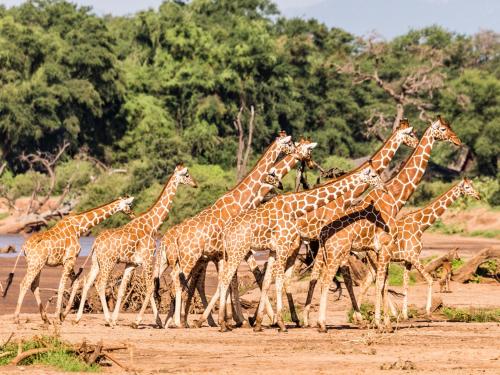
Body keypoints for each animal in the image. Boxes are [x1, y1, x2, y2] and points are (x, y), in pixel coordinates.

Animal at [9, 197, 135, 326]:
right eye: (129, 205)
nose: (133, 214)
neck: (78, 227)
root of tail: (24, 247)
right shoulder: (71, 258)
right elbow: (62, 286)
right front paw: (58, 316)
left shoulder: (67, 260)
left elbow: (75, 283)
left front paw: (63, 315)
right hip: (36, 263)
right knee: (24, 284)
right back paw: (17, 318)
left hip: (37, 264)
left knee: (34, 286)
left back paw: (45, 318)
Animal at [73, 164, 197, 326]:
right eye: (187, 175)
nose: (195, 184)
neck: (152, 224)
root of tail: (95, 242)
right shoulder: (147, 258)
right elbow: (150, 288)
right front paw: (138, 321)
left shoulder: (131, 264)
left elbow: (122, 290)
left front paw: (154, 321)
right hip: (108, 262)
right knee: (100, 284)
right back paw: (108, 320)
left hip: (96, 262)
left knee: (88, 282)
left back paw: (78, 318)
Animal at [197, 163, 384, 334]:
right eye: (373, 175)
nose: (382, 187)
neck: (294, 208)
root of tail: (225, 232)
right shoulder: (283, 244)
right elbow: (280, 280)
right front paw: (281, 323)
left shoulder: (274, 249)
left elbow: (267, 281)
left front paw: (259, 323)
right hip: (238, 250)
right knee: (226, 279)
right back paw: (222, 324)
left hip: (230, 252)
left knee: (224, 279)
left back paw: (225, 322)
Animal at [306, 117, 462, 332]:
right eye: (443, 129)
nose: (458, 141)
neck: (394, 199)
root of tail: (323, 232)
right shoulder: (385, 247)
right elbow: (381, 284)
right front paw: (382, 323)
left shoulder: (378, 250)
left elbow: (383, 283)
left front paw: (383, 321)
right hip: (335, 251)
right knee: (324, 278)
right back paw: (319, 323)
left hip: (328, 251)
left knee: (320, 277)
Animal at [356, 178, 480, 318]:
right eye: (467, 187)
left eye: (472, 185)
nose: (478, 195)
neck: (421, 225)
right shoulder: (413, 257)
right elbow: (430, 279)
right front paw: (428, 311)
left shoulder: (408, 261)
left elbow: (405, 285)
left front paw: (405, 314)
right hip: (378, 260)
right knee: (377, 283)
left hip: (373, 261)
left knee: (366, 283)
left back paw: (358, 316)